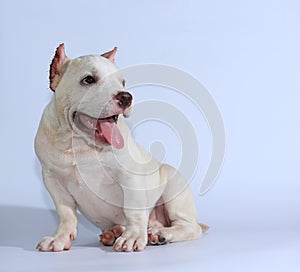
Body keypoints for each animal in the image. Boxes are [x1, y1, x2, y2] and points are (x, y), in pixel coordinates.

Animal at [34, 43, 205, 252]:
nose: (126, 97)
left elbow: (133, 209)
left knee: (190, 227)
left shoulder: (130, 176)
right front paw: (59, 237)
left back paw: (160, 234)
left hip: (174, 185)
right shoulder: (53, 180)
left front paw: (132, 237)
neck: (80, 145)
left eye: (123, 83)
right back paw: (115, 232)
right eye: (88, 80)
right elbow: (65, 213)